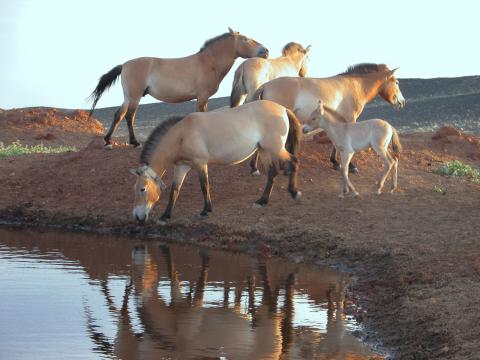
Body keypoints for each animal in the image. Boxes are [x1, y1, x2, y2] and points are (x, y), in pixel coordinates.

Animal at [87, 27, 268, 149]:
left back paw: (108, 141)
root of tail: (124, 65)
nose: (265, 51)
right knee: (129, 116)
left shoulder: (201, 98)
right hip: (135, 96)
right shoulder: (202, 97)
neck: (207, 63)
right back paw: (135, 142)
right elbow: (201, 115)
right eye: (245, 39)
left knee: (118, 115)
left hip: (128, 97)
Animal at [129, 100, 302, 224]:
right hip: (265, 150)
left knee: (294, 162)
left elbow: (204, 186)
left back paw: (294, 193)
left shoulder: (200, 164)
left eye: (143, 189)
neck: (181, 135)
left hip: (276, 149)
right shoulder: (182, 166)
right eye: (135, 189)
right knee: (272, 173)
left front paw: (206, 210)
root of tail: (282, 109)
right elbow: (174, 191)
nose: (137, 216)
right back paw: (262, 201)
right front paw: (165, 216)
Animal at [251, 64, 404, 175]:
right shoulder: (350, 119)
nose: (402, 102)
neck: (355, 85)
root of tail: (265, 86)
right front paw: (350, 166)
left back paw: (255, 168)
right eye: (396, 82)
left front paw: (335, 162)